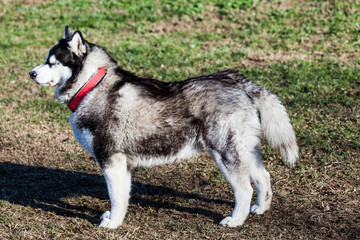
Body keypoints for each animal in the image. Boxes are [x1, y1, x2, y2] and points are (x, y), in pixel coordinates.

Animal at [28, 26, 298, 229]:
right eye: (46, 60)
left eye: (52, 62)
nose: (31, 73)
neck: (91, 86)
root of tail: (239, 81)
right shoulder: (122, 163)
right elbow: (123, 195)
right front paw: (115, 218)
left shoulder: (110, 159)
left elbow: (115, 196)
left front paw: (113, 223)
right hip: (245, 151)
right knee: (263, 177)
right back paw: (261, 208)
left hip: (226, 155)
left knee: (244, 189)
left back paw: (235, 220)